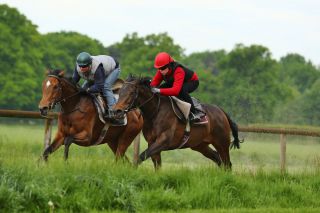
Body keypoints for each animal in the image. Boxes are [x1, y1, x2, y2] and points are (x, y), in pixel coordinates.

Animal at [112, 75, 240, 170]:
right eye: (120, 91)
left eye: (132, 92)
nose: (116, 111)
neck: (155, 111)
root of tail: (221, 111)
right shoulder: (152, 142)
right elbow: (157, 164)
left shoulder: (163, 141)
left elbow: (141, 156)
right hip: (200, 145)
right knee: (218, 160)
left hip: (222, 142)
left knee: (227, 164)